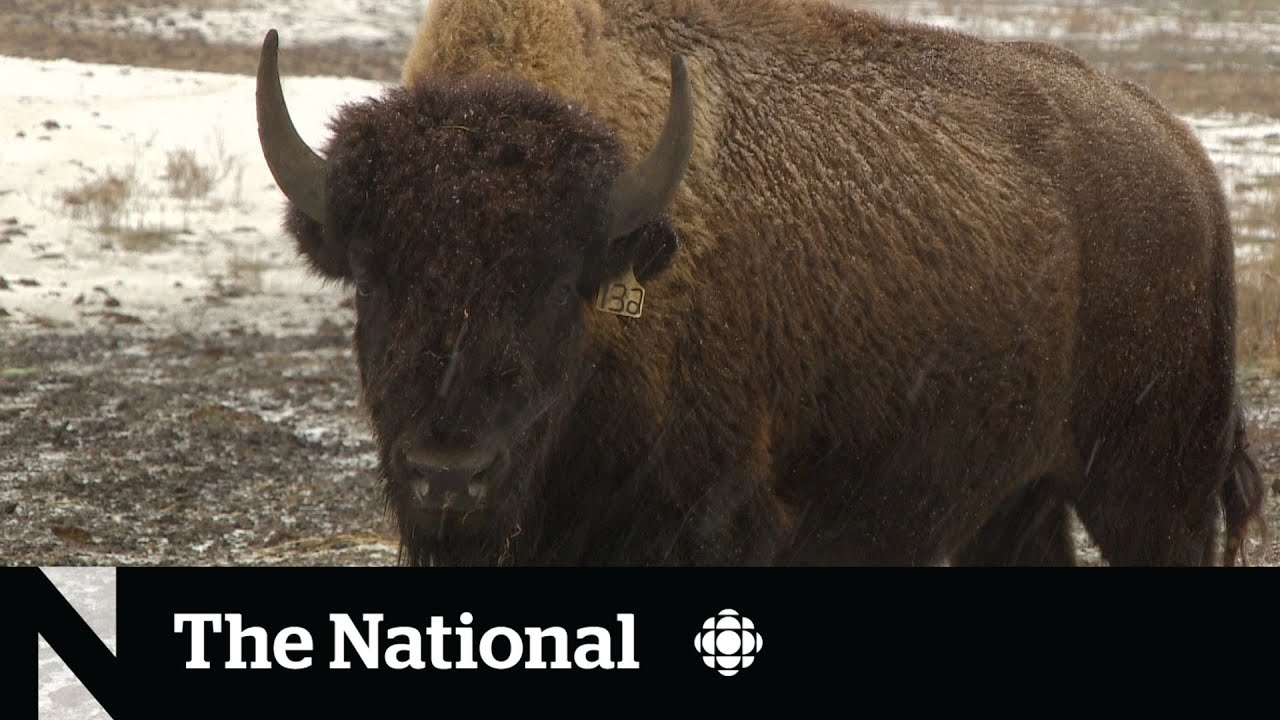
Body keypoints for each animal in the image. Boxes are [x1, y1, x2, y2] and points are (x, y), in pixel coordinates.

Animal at [254, 0, 1264, 566]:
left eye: (558, 283)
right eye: (373, 276)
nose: (448, 475)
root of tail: (1182, 155)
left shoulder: (714, 523)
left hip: (1154, 488)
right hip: (1015, 497)